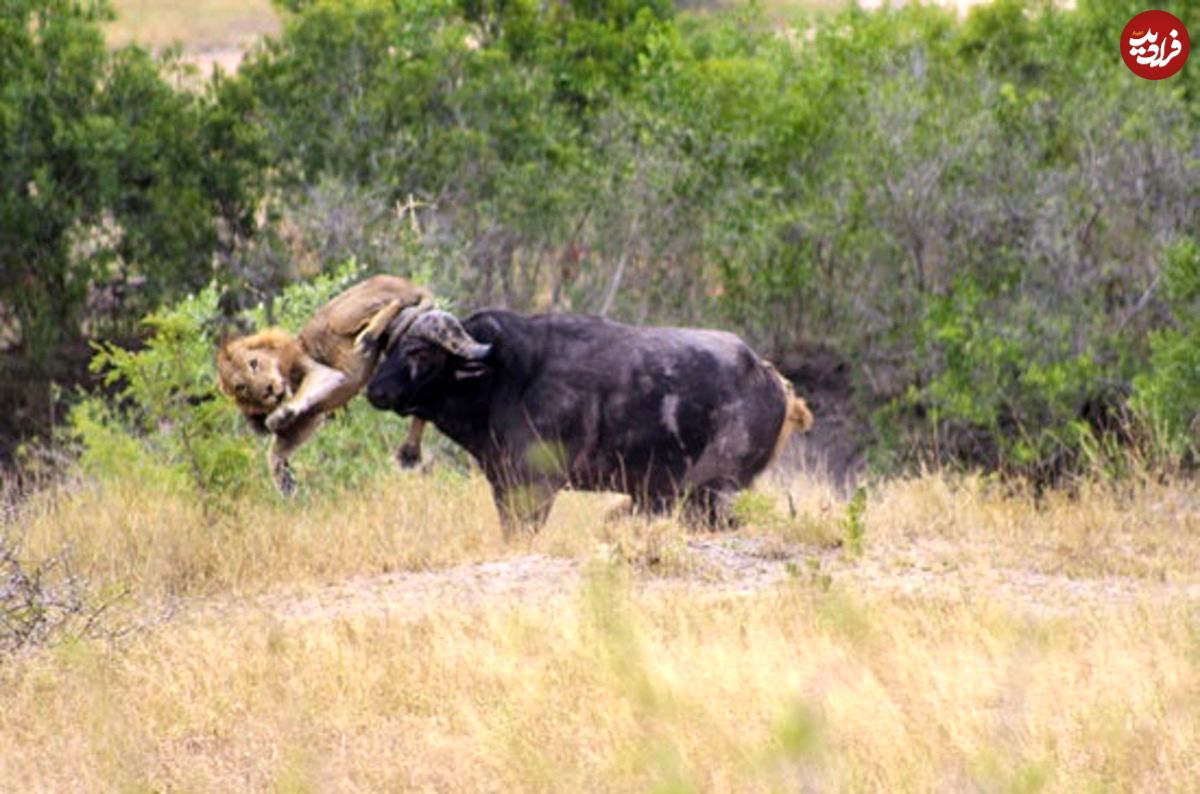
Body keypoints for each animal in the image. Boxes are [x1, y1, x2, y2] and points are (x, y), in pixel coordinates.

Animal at [218, 277, 434, 494]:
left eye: (254, 363)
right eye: (241, 388)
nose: (268, 390)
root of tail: (411, 284)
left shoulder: (322, 372)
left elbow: (305, 392)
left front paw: (278, 415)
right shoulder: (307, 418)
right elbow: (275, 451)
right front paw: (285, 482)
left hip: (340, 314)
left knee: (397, 302)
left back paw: (367, 337)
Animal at [367, 311, 816, 534]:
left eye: (419, 351)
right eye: (391, 345)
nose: (375, 391)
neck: (505, 378)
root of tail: (772, 380)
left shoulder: (538, 485)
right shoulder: (504, 483)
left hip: (711, 492)